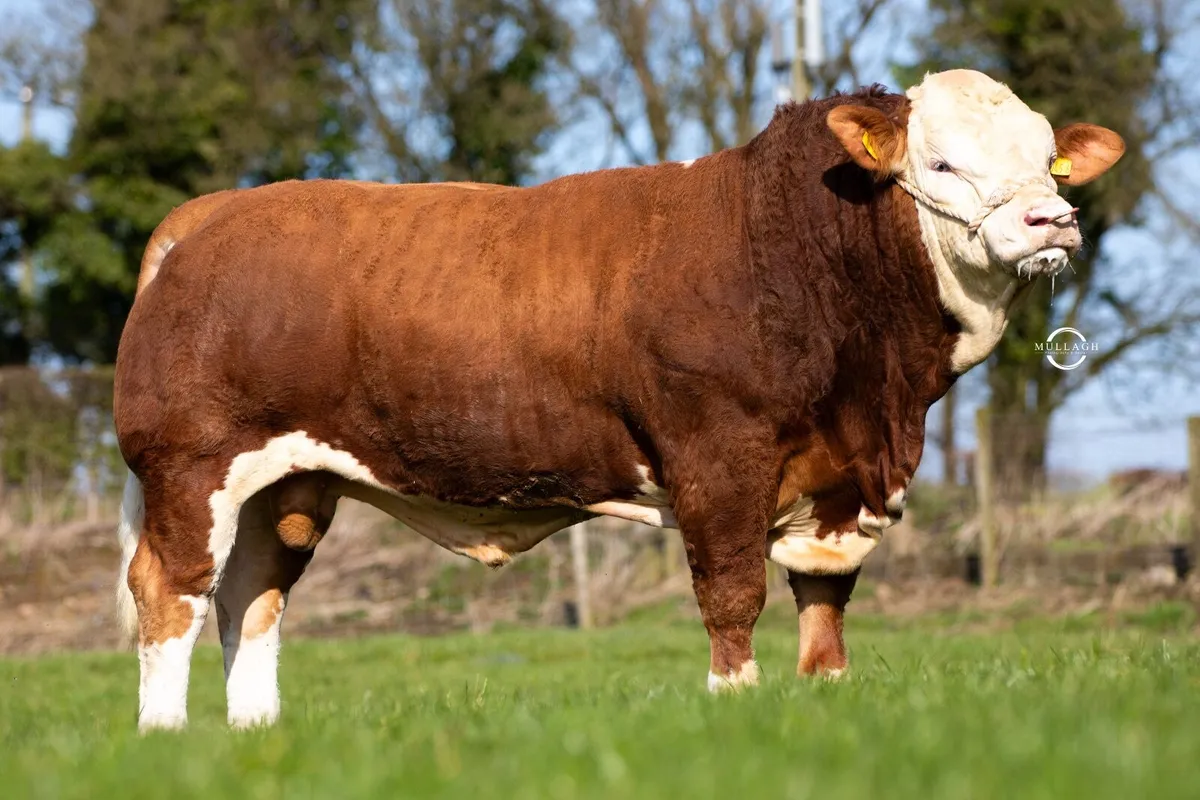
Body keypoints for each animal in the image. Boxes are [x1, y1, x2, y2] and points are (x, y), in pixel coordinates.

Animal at [113, 69, 1123, 731]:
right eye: (943, 165)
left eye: (1050, 163)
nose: (1052, 219)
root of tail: (209, 215)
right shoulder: (718, 458)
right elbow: (732, 593)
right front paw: (735, 705)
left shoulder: (841, 481)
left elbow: (824, 605)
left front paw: (825, 696)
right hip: (191, 465)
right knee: (173, 590)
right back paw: (166, 741)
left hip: (288, 484)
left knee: (253, 598)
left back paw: (255, 734)